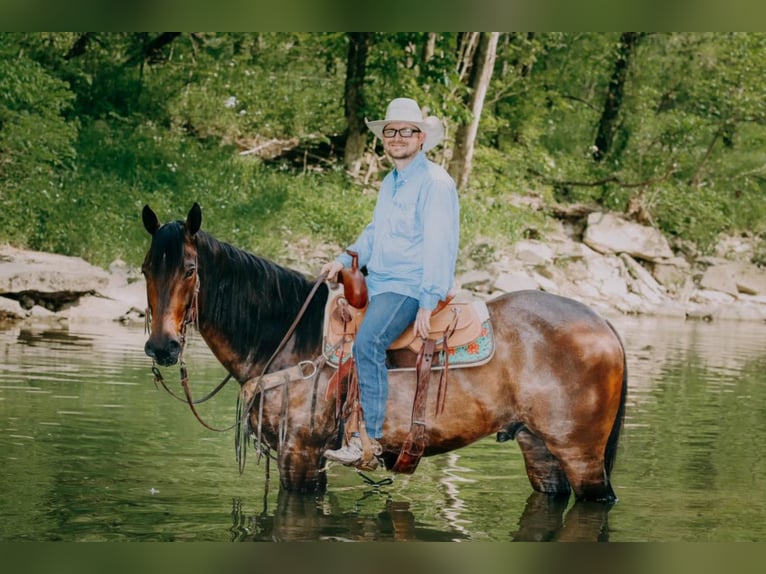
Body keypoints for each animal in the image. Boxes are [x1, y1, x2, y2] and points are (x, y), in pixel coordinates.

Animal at [141, 202, 628, 504]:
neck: (284, 339)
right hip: (539, 450)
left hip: (581, 455)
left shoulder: (302, 456)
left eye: (190, 270)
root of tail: (604, 324)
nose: (162, 347)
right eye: (146, 269)